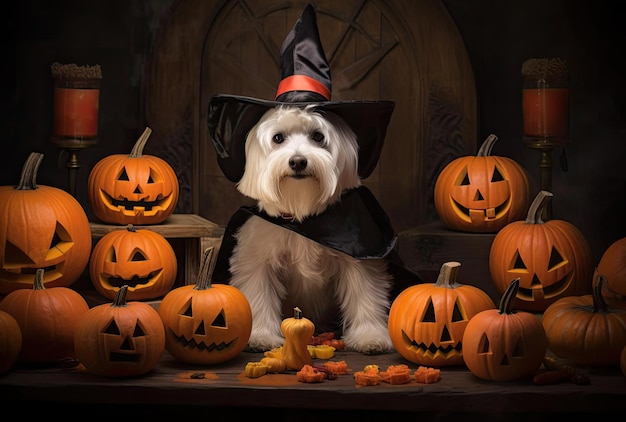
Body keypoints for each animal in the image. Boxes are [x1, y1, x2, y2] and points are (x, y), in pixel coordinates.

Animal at [229, 104, 392, 352]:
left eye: (318, 136)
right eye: (278, 138)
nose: (298, 162)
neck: (303, 216)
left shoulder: (359, 262)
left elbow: (365, 296)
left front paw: (370, 336)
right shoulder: (258, 263)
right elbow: (259, 297)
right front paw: (259, 336)